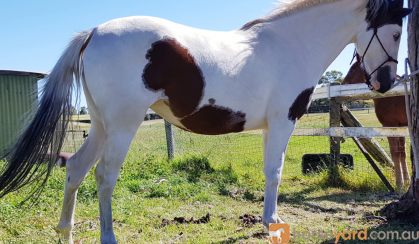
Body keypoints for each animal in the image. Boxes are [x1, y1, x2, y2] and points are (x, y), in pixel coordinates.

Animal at [344, 60, 410, 190]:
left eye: (353, 69)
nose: (343, 84)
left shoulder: (389, 126)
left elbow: (395, 154)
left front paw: (399, 184)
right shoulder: (400, 127)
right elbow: (402, 153)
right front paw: (406, 182)